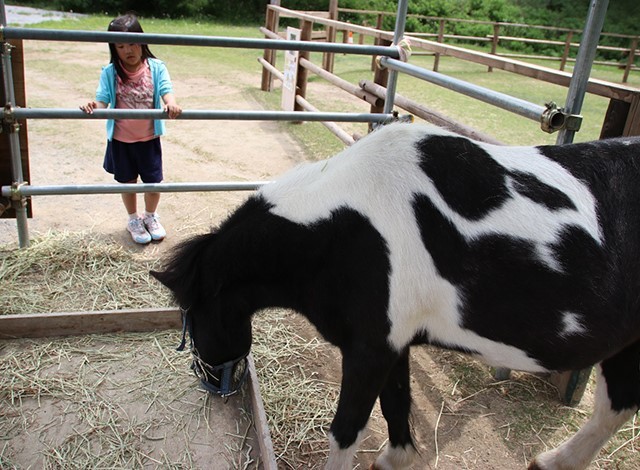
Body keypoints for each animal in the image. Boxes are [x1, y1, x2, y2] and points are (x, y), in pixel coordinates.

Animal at [154, 123, 640, 468]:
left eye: (191, 318)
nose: (209, 381)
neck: (344, 233)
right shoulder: (393, 345)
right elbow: (397, 407)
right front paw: (395, 459)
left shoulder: (369, 351)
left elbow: (347, 430)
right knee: (614, 409)